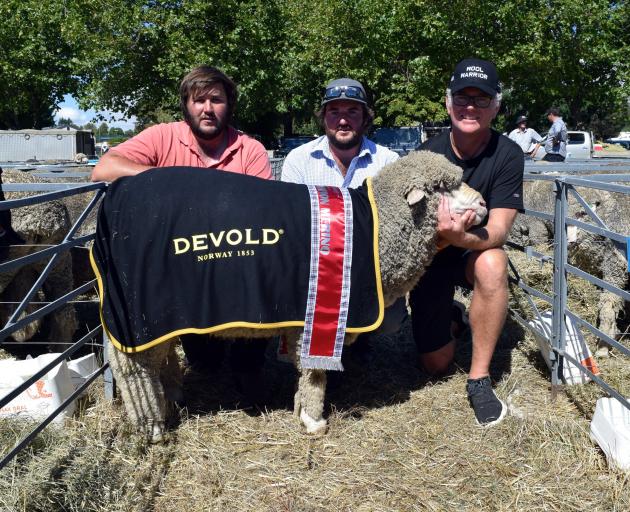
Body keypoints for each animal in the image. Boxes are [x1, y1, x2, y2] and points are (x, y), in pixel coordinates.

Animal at [100, 151, 488, 440]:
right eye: (444, 187)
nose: (484, 204)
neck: (376, 230)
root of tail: (112, 201)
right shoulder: (317, 318)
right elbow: (315, 372)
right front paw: (314, 420)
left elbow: (308, 371)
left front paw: (301, 406)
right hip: (137, 310)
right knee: (131, 368)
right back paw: (151, 424)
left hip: (163, 313)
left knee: (161, 356)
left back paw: (172, 395)